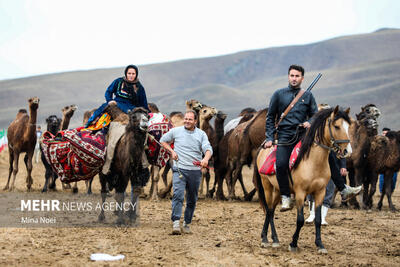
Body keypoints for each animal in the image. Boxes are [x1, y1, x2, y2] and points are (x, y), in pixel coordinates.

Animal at [255, 106, 352, 253]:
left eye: (348, 126)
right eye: (336, 126)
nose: (347, 151)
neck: (312, 161)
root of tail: (264, 146)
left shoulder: (320, 192)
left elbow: (318, 219)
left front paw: (320, 244)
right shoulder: (300, 193)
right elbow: (300, 220)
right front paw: (293, 243)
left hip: (278, 189)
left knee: (270, 210)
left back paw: (271, 238)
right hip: (267, 186)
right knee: (269, 210)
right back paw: (267, 239)